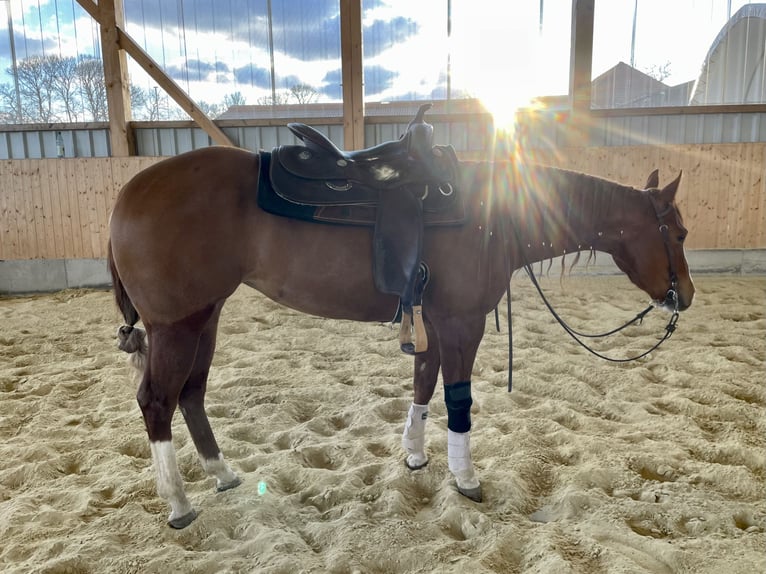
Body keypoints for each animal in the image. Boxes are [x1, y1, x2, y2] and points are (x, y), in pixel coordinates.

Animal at [106, 137, 696, 528]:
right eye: (679, 232)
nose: (684, 296)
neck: (493, 215)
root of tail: (129, 192)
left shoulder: (433, 319)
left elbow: (423, 384)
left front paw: (414, 455)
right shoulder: (462, 322)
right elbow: (457, 399)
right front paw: (465, 477)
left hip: (206, 316)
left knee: (191, 394)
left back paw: (223, 473)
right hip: (176, 326)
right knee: (156, 401)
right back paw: (179, 503)